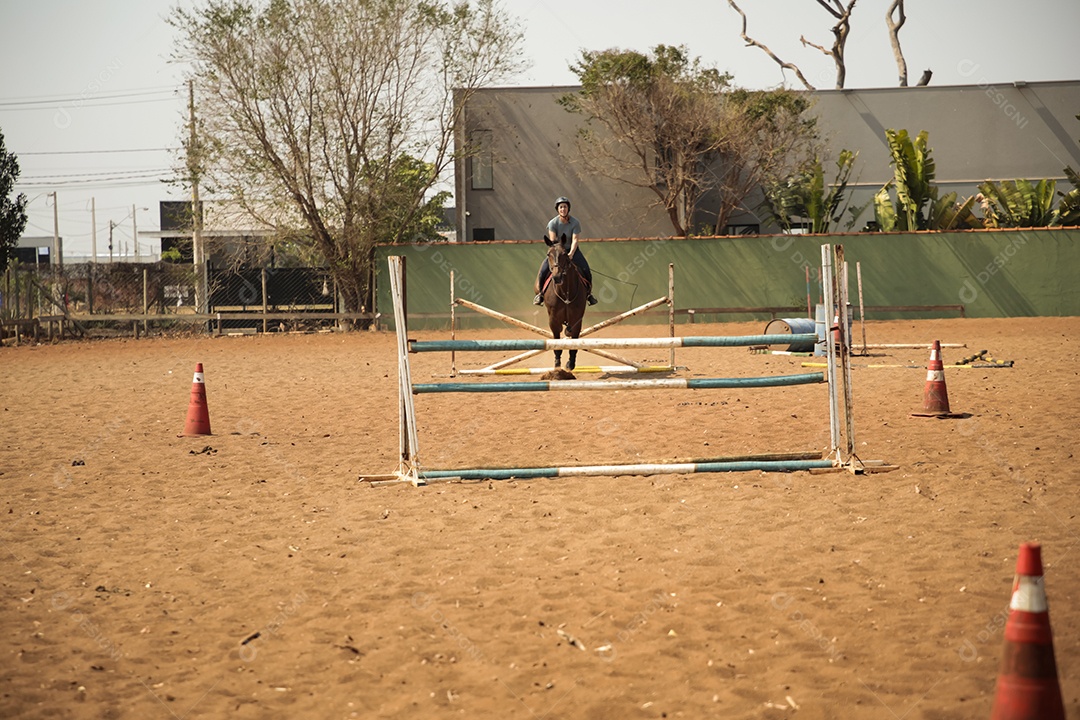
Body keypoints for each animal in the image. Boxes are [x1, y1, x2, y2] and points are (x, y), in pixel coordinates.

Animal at [540, 235, 588, 371]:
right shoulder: (553, 319)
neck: (565, 292)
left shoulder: (577, 319)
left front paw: (570, 363)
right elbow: (556, 340)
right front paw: (557, 363)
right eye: (548, 254)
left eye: (565, 254)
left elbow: (574, 341)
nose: (557, 277)